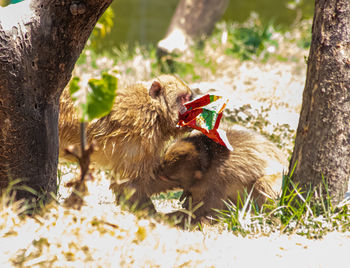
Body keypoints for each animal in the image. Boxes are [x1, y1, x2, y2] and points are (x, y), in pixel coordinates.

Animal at [58, 75, 193, 211]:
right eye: (183, 98)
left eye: (189, 98)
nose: (189, 108)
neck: (154, 111)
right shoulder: (139, 133)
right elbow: (128, 186)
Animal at [156, 126, 288, 225]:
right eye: (161, 166)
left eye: (166, 177)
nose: (157, 172)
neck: (207, 163)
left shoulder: (217, 180)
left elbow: (207, 209)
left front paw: (166, 217)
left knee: (262, 183)